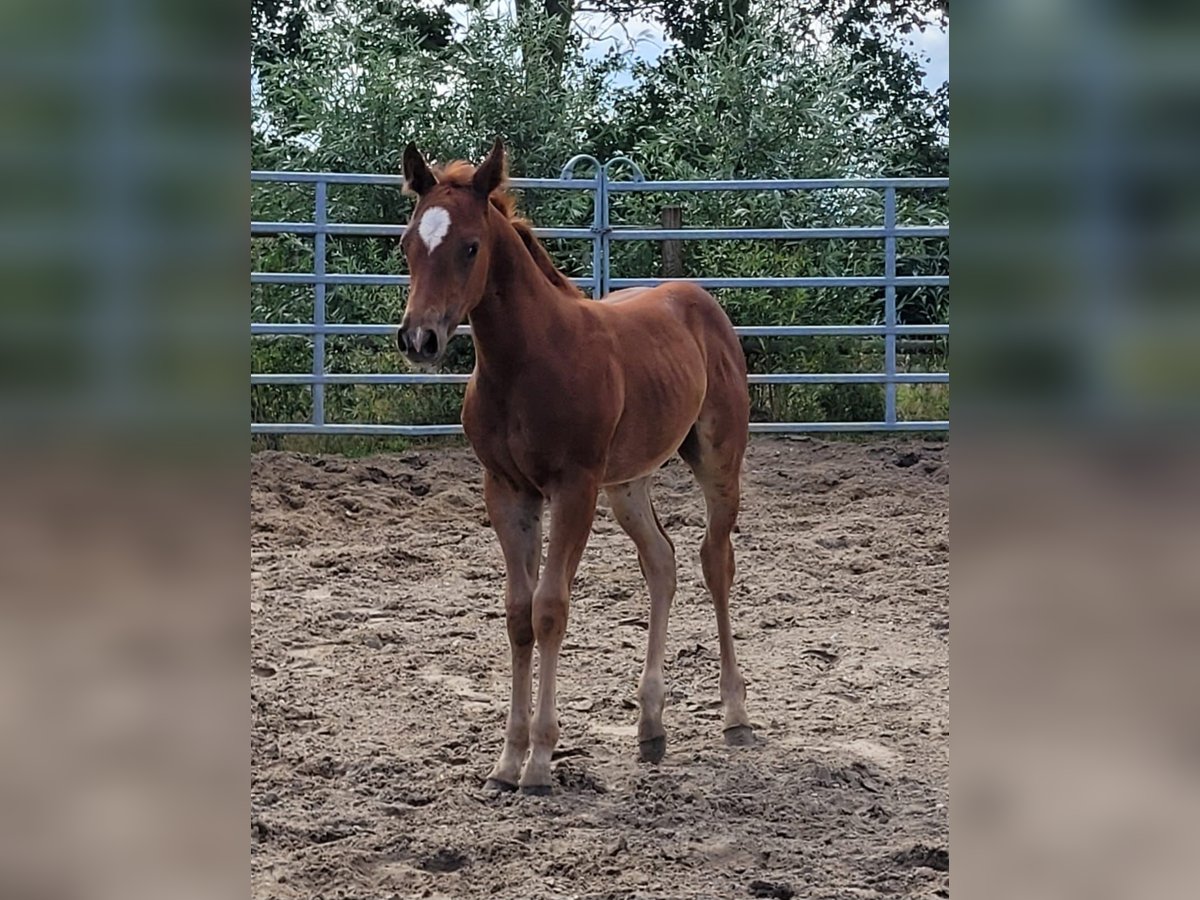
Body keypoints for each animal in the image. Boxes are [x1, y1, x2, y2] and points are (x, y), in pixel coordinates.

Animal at [396, 139, 754, 794]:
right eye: (408, 242)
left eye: (470, 246)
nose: (419, 339)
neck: (525, 361)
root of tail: (698, 299)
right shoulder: (506, 490)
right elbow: (518, 614)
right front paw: (505, 761)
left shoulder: (573, 487)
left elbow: (550, 609)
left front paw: (539, 763)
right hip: (628, 482)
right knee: (661, 562)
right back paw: (650, 726)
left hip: (717, 458)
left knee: (714, 561)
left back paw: (735, 715)